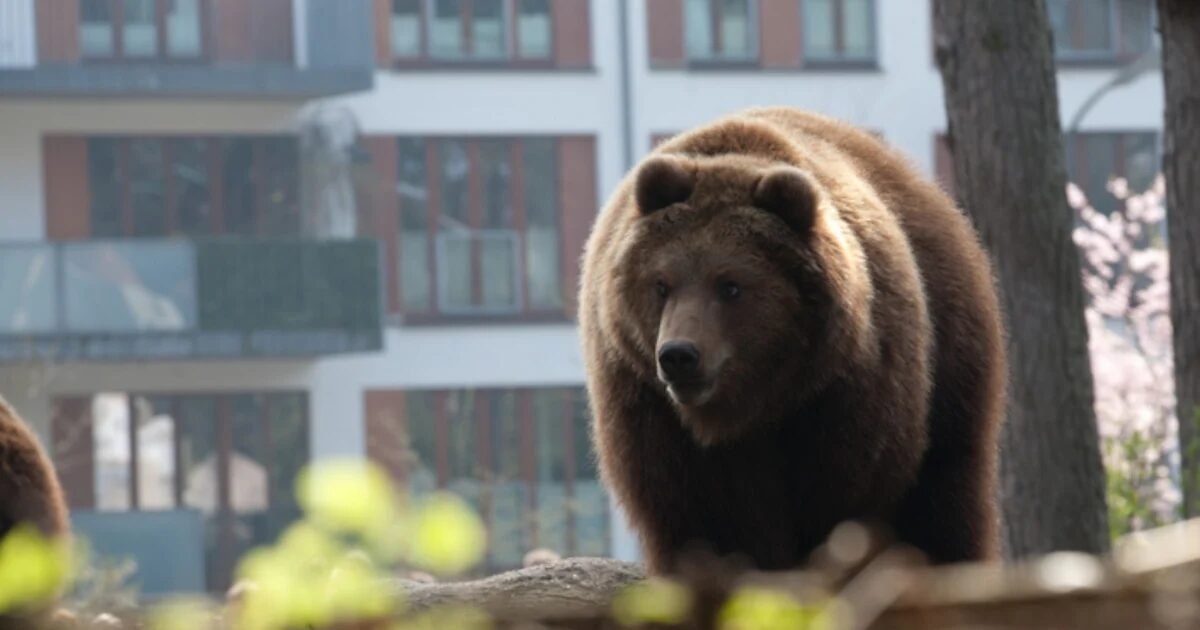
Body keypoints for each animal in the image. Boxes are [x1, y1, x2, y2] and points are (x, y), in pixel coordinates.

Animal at [578, 106, 1006, 574]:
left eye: (730, 285)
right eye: (661, 284)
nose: (678, 355)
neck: (750, 408)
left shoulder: (845, 396)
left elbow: (841, 502)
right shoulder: (652, 414)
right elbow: (702, 518)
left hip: (951, 367)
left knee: (946, 496)